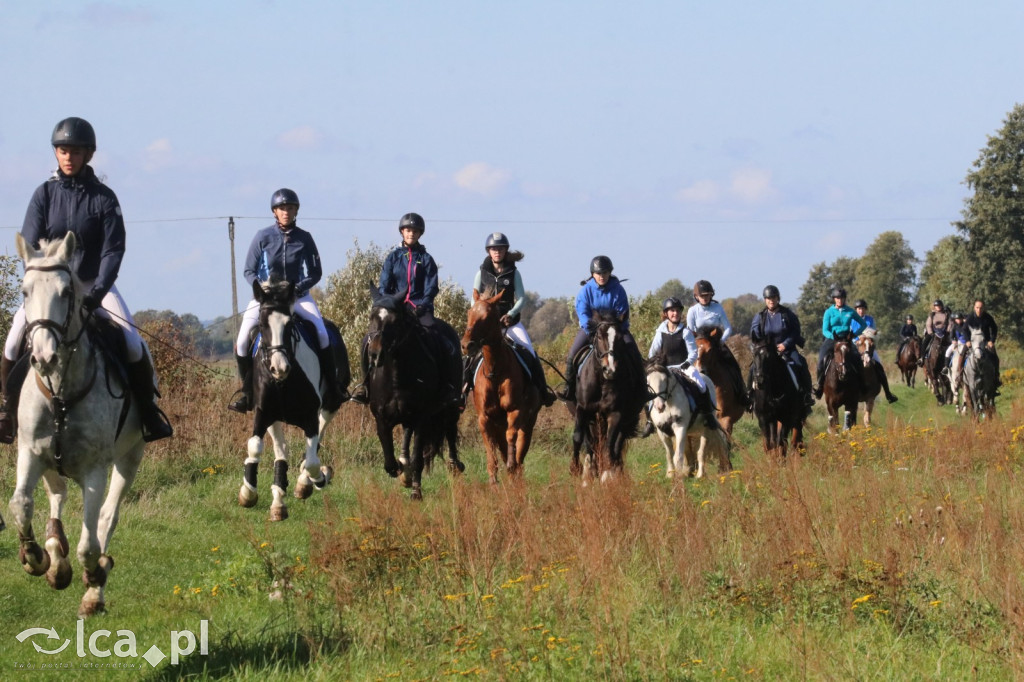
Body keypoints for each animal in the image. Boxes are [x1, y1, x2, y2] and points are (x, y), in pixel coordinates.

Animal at [7, 231, 146, 614]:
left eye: (66, 293)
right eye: (25, 291)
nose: (44, 356)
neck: (60, 393)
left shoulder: (95, 469)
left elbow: (90, 545)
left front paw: (95, 576)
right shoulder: (30, 452)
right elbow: (20, 505)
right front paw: (36, 559)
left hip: (130, 458)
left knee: (105, 518)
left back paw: (91, 587)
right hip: (50, 462)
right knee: (57, 497)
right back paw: (56, 555)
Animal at [364, 284, 464, 497]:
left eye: (394, 321)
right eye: (371, 317)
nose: (375, 355)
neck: (396, 376)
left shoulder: (421, 418)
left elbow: (418, 457)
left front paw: (416, 491)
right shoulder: (382, 419)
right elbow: (389, 463)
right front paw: (403, 472)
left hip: (450, 407)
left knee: (450, 431)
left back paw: (454, 465)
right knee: (406, 433)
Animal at [464, 288, 544, 481]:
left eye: (486, 317)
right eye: (469, 313)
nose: (466, 344)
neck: (495, 371)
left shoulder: (515, 411)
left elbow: (511, 439)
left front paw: (510, 463)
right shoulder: (484, 419)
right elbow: (492, 455)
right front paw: (494, 482)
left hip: (528, 422)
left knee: (520, 454)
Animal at [569, 311, 647, 481]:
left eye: (620, 338)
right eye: (599, 336)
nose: (610, 369)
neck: (601, 382)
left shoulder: (615, 414)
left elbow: (609, 444)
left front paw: (607, 474)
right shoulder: (582, 409)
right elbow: (578, 437)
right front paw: (575, 468)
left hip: (626, 420)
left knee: (615, 445)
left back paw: (615, 470)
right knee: (592, 443)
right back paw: (592, 471)